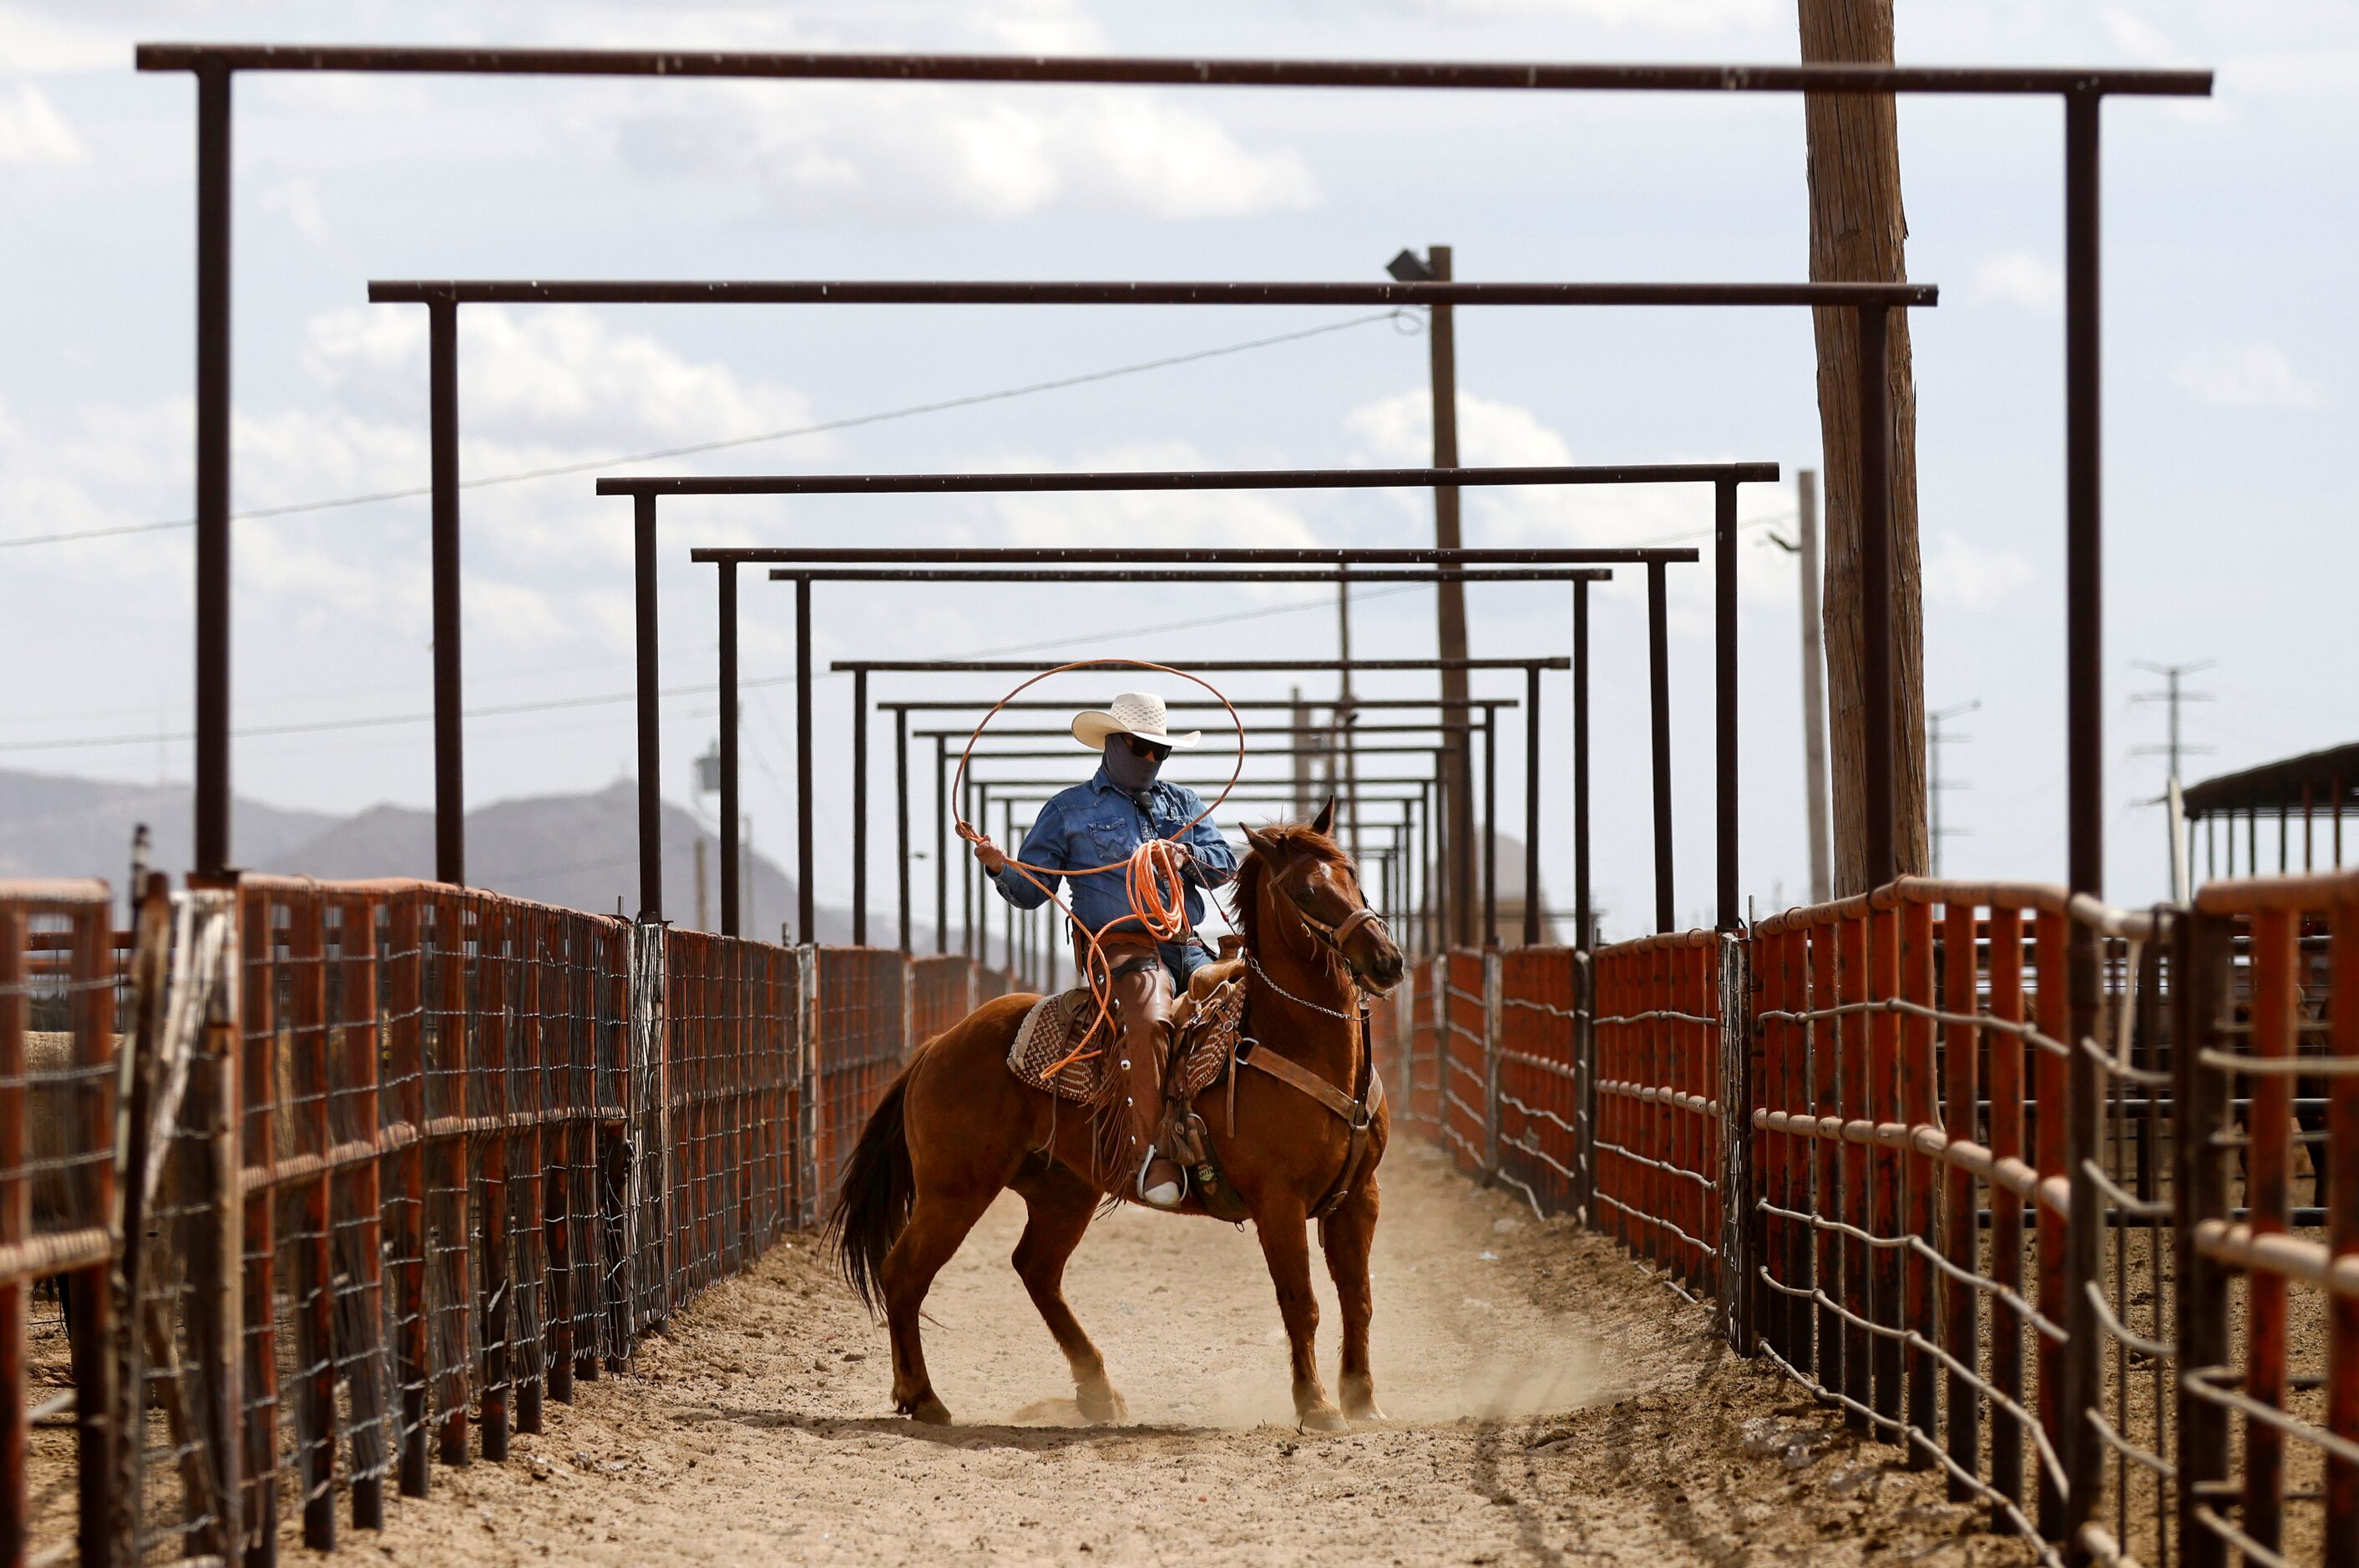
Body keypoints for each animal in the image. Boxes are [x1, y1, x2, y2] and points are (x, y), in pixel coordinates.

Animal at [830, 806, 1396, 1434]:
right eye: (1305, 891)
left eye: (1352, 875)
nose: (1386, 961)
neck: (1293, 1043)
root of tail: (938, 1045)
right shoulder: (1279, 1199)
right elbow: (1302, 1300)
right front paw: (1317, 1406)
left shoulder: (1358, 1195)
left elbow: (1359, 1298)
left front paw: (1364, 1401)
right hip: (954, 1190)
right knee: (904, 1272)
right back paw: (923, 1396)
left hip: (1062, 1190)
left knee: (1036, 1269)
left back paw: (1098, 1391)